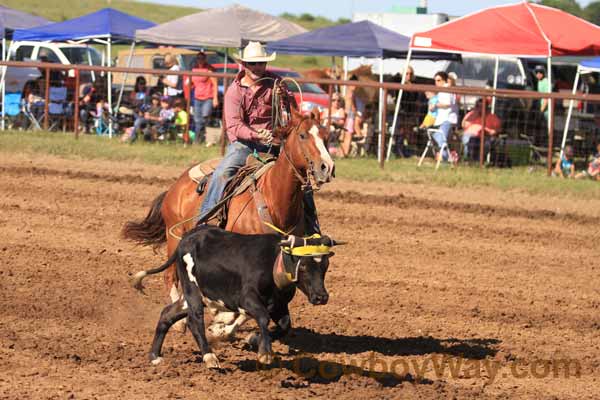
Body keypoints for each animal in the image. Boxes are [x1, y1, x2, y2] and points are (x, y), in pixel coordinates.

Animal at [123, 110, 332, 332]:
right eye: (302, 135)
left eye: (326, 136)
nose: (327, 167)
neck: (274, 200)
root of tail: (176, 185)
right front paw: (221, 326)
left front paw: (222, 324)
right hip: (175, 236)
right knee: (170, 276)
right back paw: (181, 322)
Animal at [134, 227, 340, 368]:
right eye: (303, 265)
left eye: (325, 265)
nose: (321, 297)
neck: (273, 263)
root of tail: (188, 237)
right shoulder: (246, 300)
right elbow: (263, 317)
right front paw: (264, 353)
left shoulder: (279, 305)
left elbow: (284, 326)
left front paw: (254, 339)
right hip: (192, 290)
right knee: (194, 321)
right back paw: (209, 357)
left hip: (198, 295)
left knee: (167, 314)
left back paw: (154, 356)